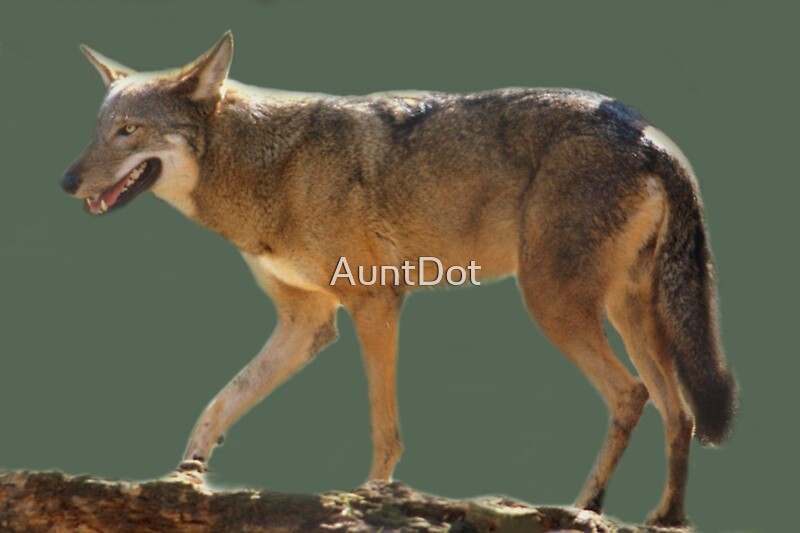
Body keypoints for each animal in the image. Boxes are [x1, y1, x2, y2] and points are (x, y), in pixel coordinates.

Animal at [60, 32, 737, 526]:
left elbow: (385, 432)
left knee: (632, 395)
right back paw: (666, 518)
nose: (65, 181)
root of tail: (647, 132)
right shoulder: (307, 323)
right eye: (97, 131)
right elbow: (217, 404)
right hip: (629, 317)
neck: (270, 169)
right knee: (678, 412)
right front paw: (186, 479)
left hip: (553, 305)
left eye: (129, 131)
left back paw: (585, 507)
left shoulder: (374, 302)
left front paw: (371, 502)